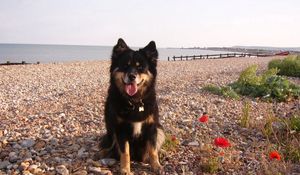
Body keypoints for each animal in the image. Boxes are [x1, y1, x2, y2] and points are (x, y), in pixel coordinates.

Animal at [99, 38, 165, 175]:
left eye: (140, 67)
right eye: (125, 65)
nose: (132, 76)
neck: (134, 102)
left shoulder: (152, 127)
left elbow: (153, 150)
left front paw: (156, 166)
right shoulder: (120, 130)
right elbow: (125, 153)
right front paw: (125, 170)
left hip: (160, 129)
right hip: (110, 134)